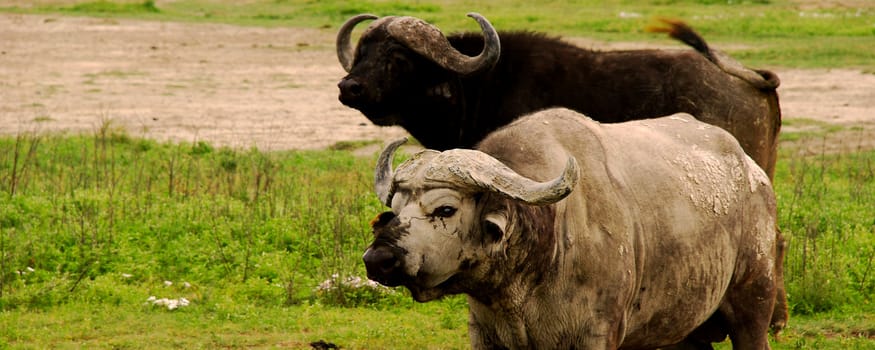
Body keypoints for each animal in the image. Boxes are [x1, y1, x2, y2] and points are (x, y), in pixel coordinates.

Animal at [362, 108, 780, 348]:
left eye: (445, 208)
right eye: (394, 210)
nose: (378, 259)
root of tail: (753, 173)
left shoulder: (596, 333)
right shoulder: (485, 335)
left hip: (754, 301)